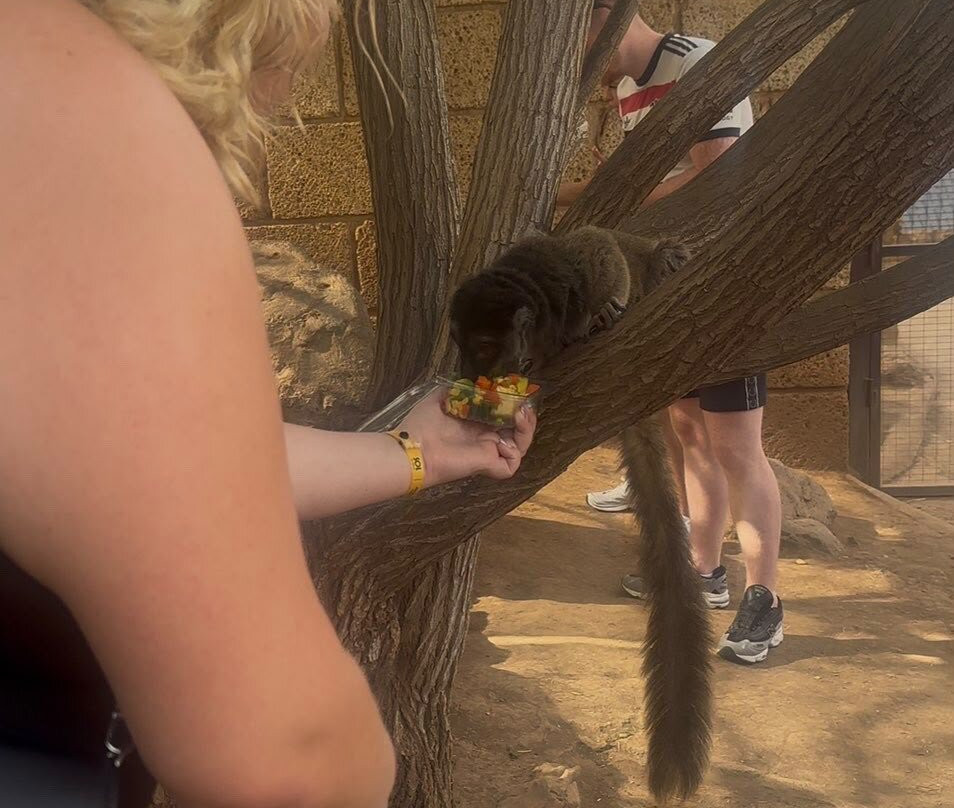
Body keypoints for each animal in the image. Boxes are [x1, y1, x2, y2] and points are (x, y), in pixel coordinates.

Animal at [449, 225, 712, 804]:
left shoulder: (574, 268)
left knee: (660, 255)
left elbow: (603, 249)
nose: (470, 377)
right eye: (459, 351)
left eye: (483, 348)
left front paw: (604, 312)